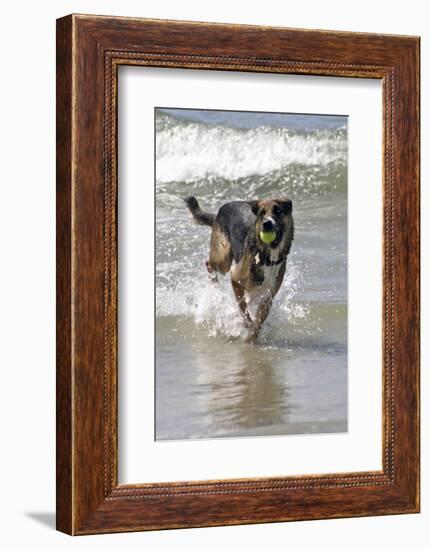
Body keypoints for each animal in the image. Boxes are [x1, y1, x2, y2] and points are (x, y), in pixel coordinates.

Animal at [184, 194, 296, 340]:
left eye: (278, 211)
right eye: (262, 213)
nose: (266, 224)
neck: (267, 257)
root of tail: (221, 210)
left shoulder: (268, 297)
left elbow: (258, 322)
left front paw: (252, 336)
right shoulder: (235, 277)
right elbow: (242, 306)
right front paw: (246, 324)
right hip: (223, 258)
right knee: (209, 264)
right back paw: (215, 285)